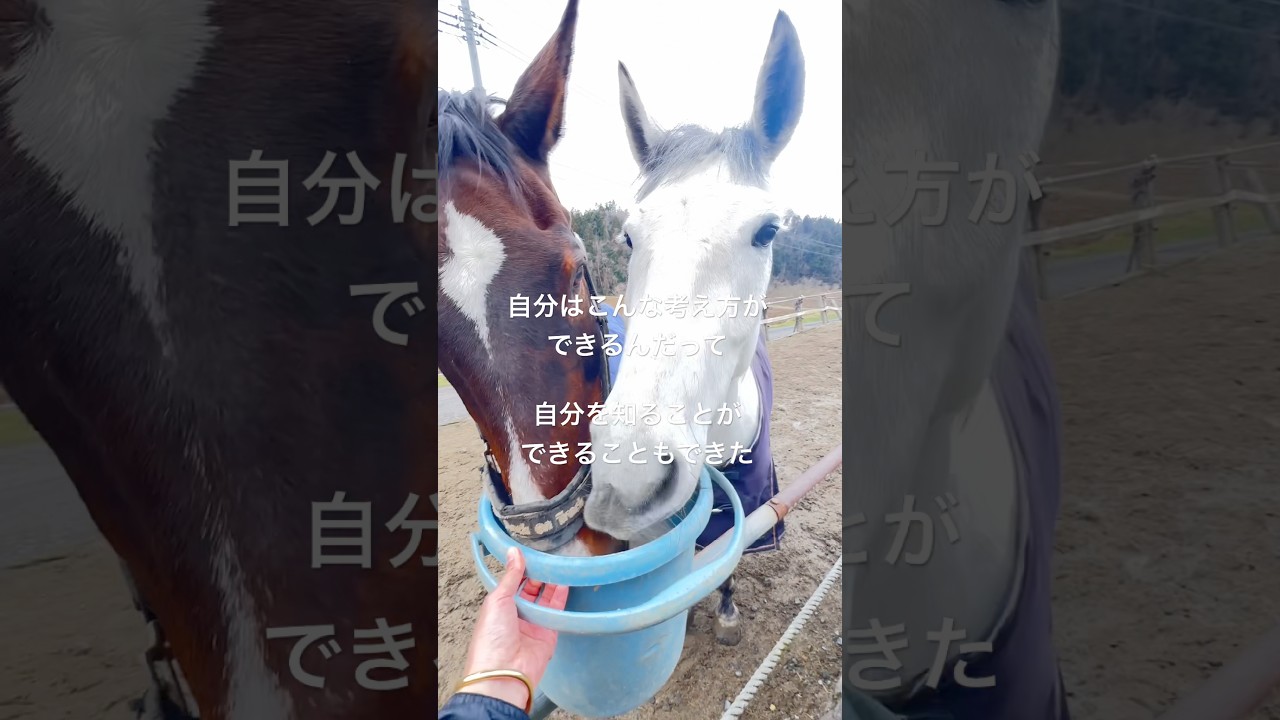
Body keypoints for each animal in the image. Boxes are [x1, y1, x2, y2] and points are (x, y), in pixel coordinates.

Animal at [582, 10, 807, 647]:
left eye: (767, 231)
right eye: (628, 235)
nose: (626, 475)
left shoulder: (748, 507)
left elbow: (728, 560)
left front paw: (727, 613)